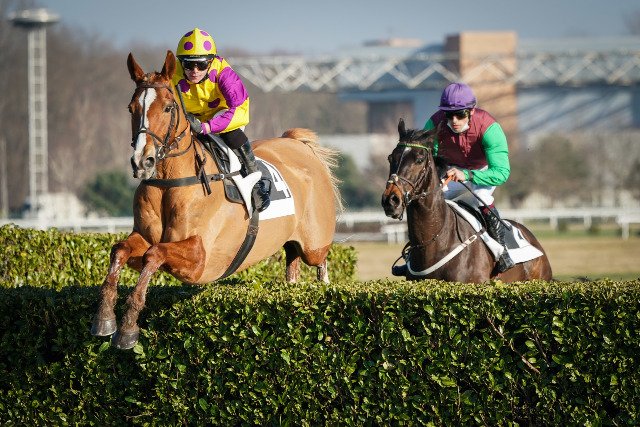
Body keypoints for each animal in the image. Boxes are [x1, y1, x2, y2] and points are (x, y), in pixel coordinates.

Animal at [91, 50, 341, 349]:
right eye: (131, 108)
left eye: (168, 108)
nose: (143, 161)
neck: (170, 181)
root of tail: (298, 144)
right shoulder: (143, 238)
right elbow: (120, 249)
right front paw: (104, 318)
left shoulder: (200, 259)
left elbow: (155, 253)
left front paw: (128, 326)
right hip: (291, 241)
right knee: (292, 262)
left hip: (315, 244)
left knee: (320, 263)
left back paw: (323, 289)